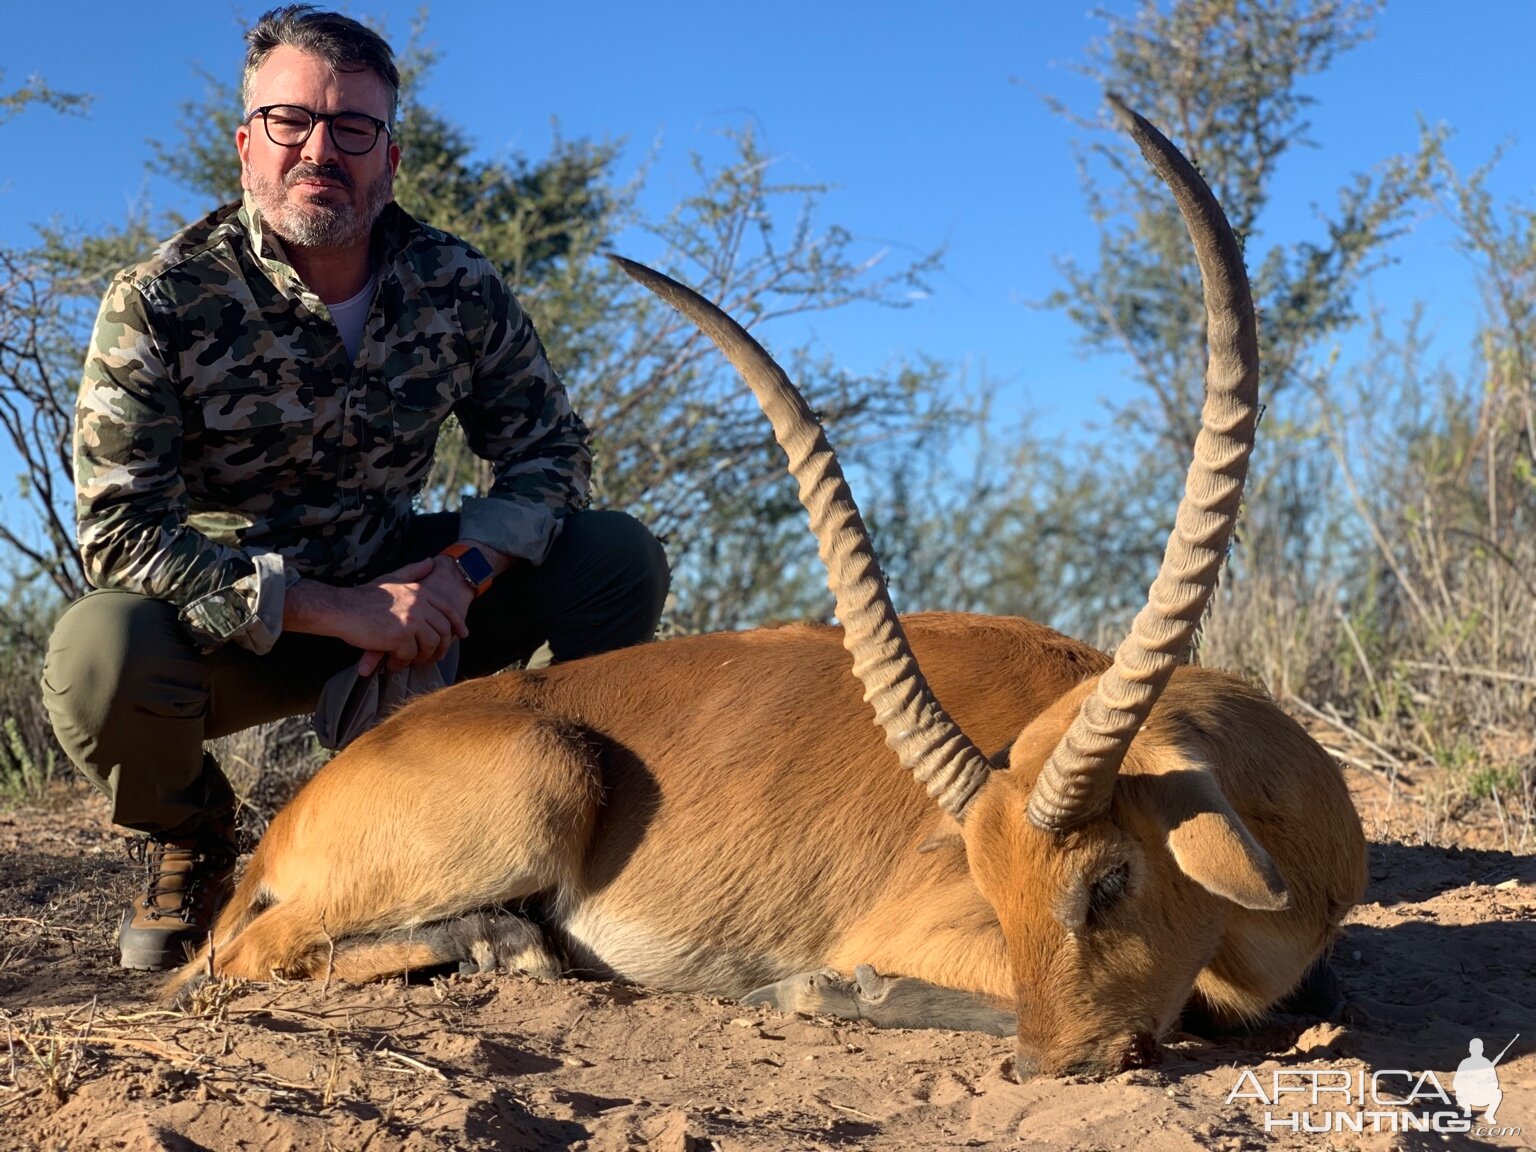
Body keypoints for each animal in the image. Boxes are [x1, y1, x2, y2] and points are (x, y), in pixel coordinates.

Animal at [171, 101, 1370, 1081]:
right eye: (996, 887)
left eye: (1110, 879)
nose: (1056, 1065)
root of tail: (308, 806)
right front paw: (838, 990)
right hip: (535, 792)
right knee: (248, 955)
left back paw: (510, 943)